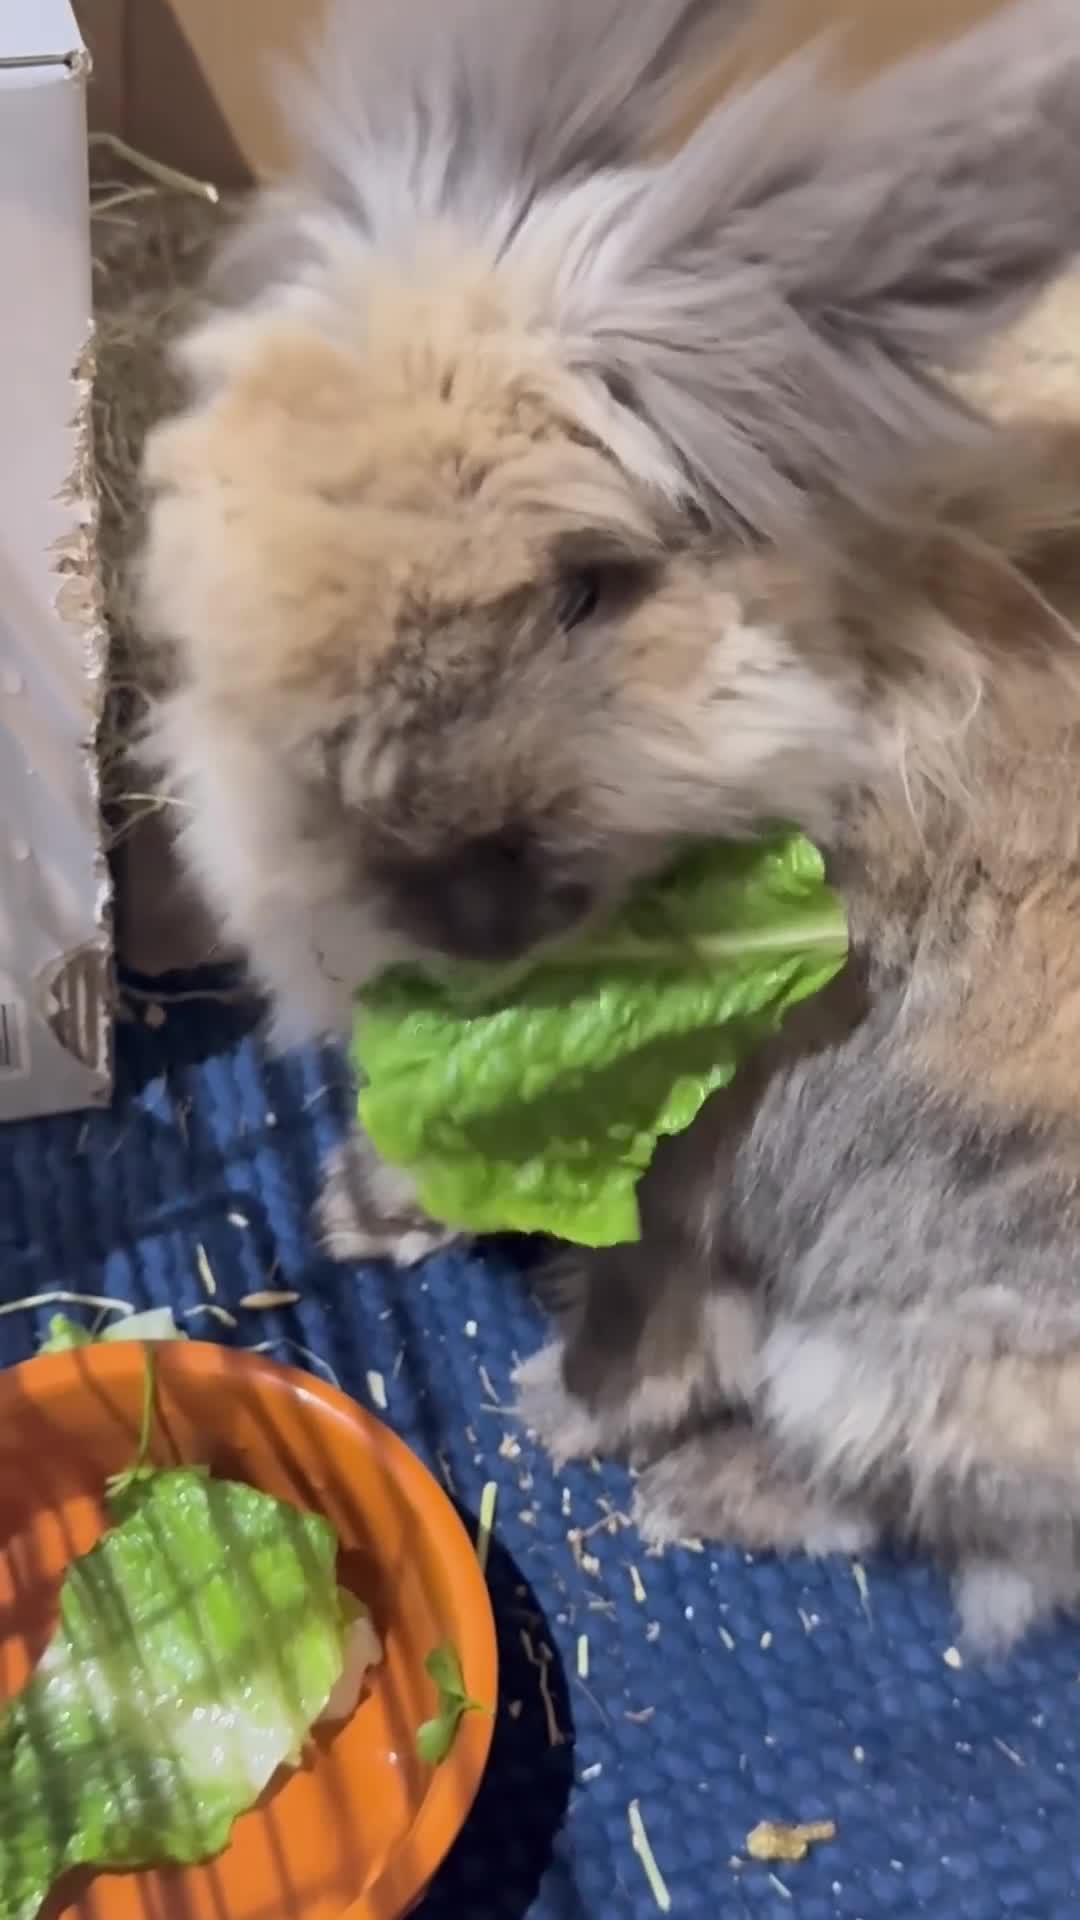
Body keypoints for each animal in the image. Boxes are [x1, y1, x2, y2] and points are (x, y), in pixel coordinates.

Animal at [137, 0, 1080, 1650]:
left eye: (588, 589)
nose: (455, 903)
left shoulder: (714, 1130)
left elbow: (660, 1293)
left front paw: (567, 1408)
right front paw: (355, 1205)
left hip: (930, 1350)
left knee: (944, 1516)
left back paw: (707, 1492)